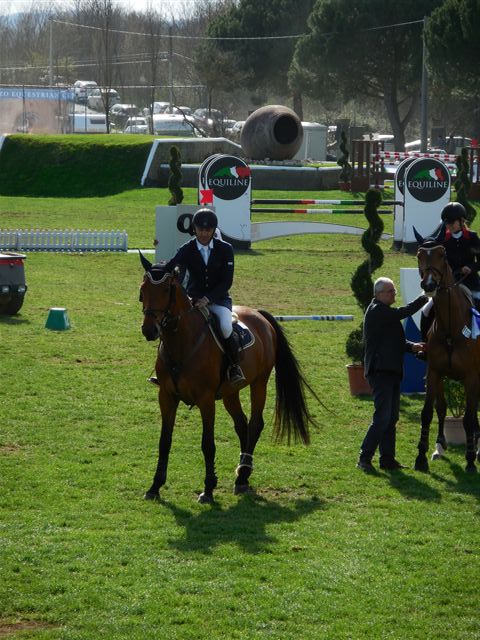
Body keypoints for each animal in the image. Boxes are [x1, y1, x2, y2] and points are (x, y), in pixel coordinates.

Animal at [138, 252, 318, 502]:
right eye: (143, 290)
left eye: (166, 290)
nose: (149, 330)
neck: (182, 342)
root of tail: (259, 315)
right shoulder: (166, 396)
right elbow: (164, 442)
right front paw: (154, 487)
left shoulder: (205, 400)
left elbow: (207, 444)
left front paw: (208, 490)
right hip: (230, 392)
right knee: (242, 424)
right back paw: (241, 475)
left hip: (259, 383)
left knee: (255, 424)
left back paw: (244, 473)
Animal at [414, 238, 478, 472]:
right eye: (419, 255)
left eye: (442, 255)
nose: (429, 285)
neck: (452, 329)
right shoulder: (434, 372)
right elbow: (429, 412)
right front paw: (421, 457)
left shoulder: (471, 376)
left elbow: (469, 418)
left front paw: (470, 460)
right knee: (441, 407)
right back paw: (440, 446)